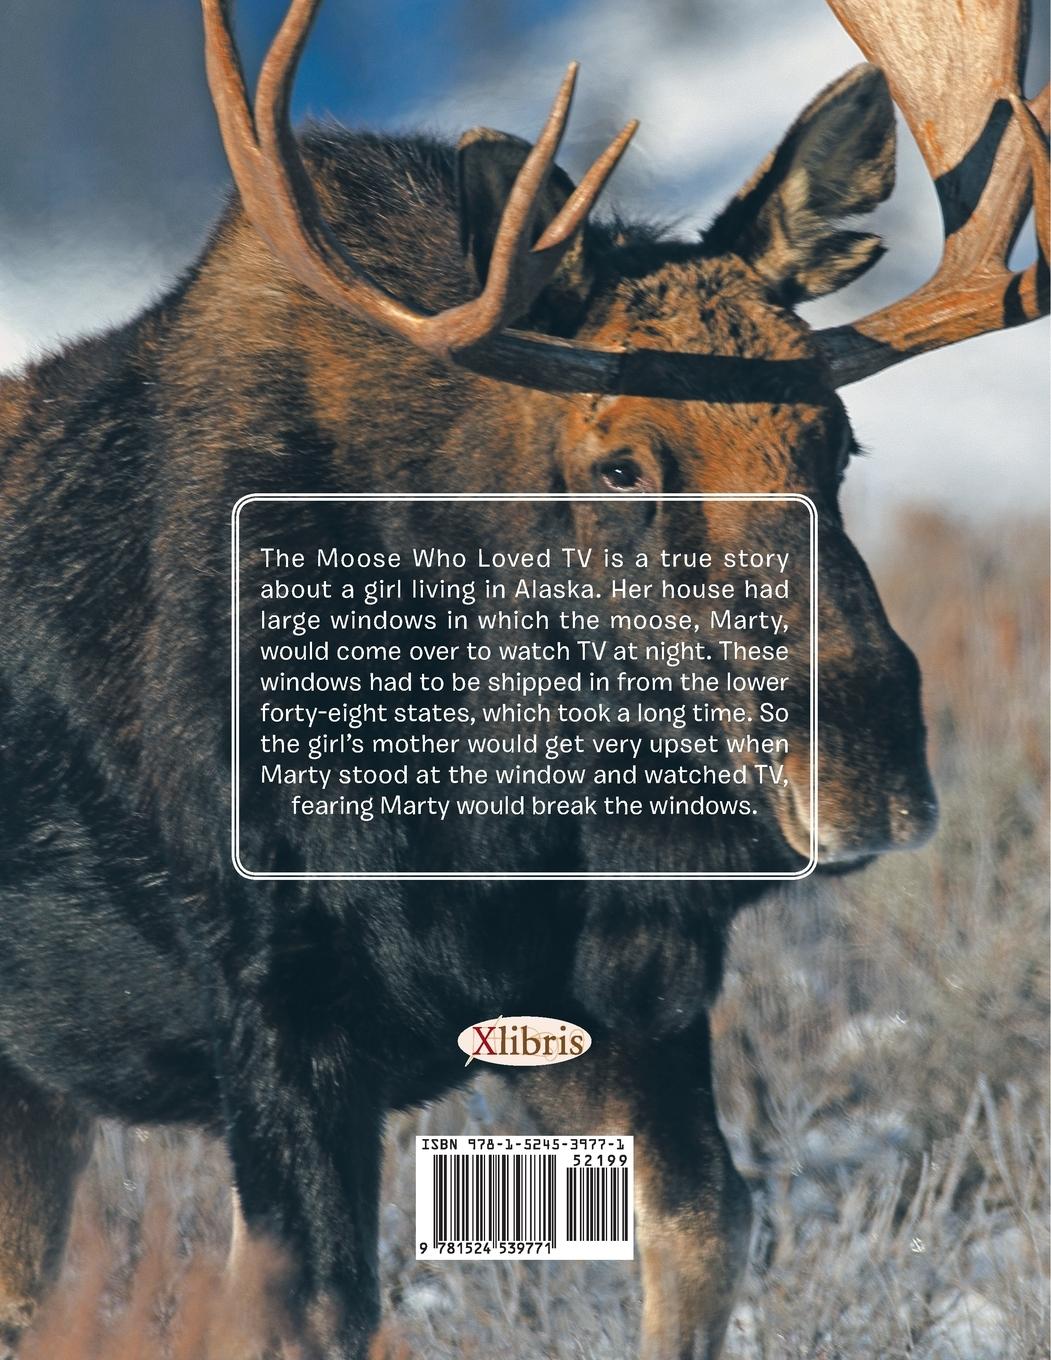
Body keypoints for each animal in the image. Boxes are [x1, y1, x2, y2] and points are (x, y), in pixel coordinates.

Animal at [0, 0, 1045, 1357]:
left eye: (836, 437)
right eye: (619, 462)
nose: (868, 761)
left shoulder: (626, 988)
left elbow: (703, 1231)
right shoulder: (276, 1006)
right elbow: (315, 1305)